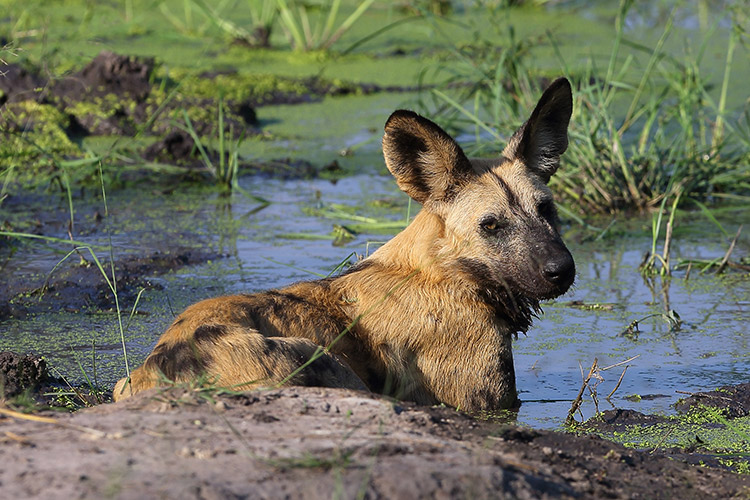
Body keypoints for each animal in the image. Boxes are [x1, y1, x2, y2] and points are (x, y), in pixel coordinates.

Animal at [114, 78, 580, 412]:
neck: (446, 273)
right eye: (491, 226)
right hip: (321, 363)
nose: (561, 269)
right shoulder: (489, 404)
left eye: (547, 209)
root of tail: (162, 366)